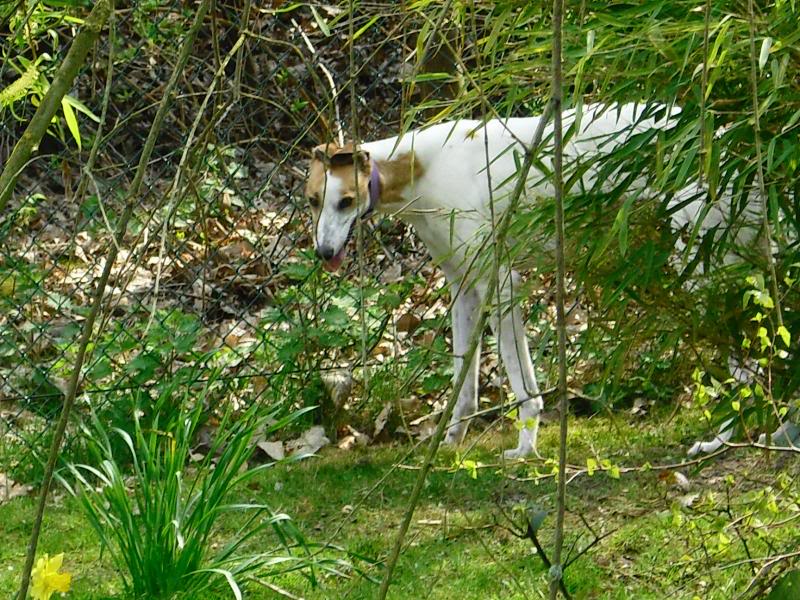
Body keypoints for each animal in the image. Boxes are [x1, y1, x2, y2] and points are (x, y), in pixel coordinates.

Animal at [304, 104, 720, 460]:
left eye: (345, 201)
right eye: (312, 200)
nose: (324, 253)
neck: (422, 168)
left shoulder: (500, 283)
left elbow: (524, 387)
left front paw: (525, 449)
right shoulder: (463, 288)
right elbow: (464, 388)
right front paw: (449, 442)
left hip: (699, 266)